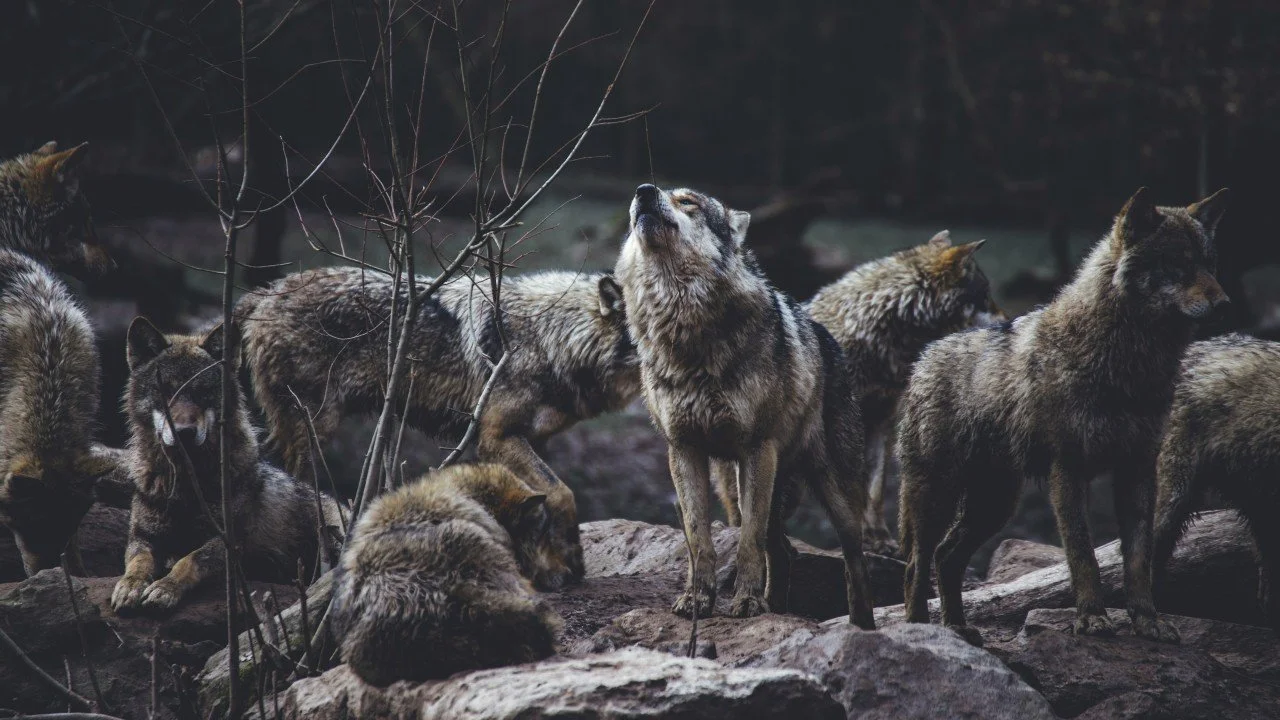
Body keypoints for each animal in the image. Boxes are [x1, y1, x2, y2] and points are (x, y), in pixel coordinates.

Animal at [110, 318, 346, 613]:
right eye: (165, 391)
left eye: (203, 392)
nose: (184, 432)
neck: (187, 483)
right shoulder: (142, 537)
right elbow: (138, 562)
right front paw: (129, 586)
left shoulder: (228, 542)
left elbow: (188, 560)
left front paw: (165, 588)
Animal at [237, 267, 639, 589]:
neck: (552, 337)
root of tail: (267, 290)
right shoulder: (496, 437)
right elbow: (562, 493)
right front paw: (571, 562)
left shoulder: (533, 440)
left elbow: (542, 503)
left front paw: (554, 566)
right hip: (313, 430)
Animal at [615, 183, 875, 627]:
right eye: (651, 193)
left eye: (688, 202)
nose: (644, 191)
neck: (684, 330)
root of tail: (828, 337)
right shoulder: (683, 450)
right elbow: (698, 539)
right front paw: (698, 600)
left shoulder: (756, 449)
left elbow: (748, 543)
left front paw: (748, 603)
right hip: (739, 485)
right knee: (783, 551)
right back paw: (778, 608)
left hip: (832, 493)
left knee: (853, 562)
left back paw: (862, 626)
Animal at [897, 187, 1229, 646]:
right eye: (1178, 263)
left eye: (1210, 264)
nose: (1224, 303)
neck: (1127, 363)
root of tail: (925, 356)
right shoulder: (1067, 469)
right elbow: (1082, 554)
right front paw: (1092, 618)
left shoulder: (1138, 469)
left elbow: (1138, 559)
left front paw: (1147, 621)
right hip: (939, 495)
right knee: (917, 561)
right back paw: (921, 629)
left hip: (995, 504)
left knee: (947, 556)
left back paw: (958, 629)